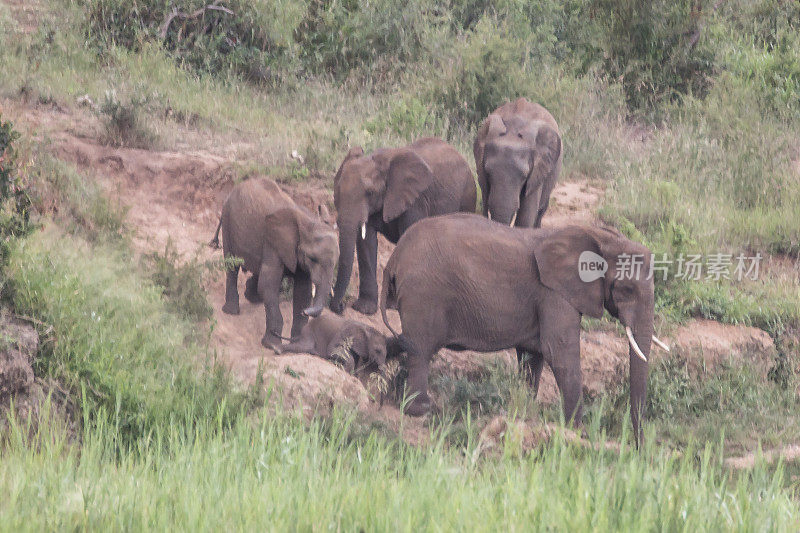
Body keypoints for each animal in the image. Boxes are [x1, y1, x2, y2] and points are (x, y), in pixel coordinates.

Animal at [209, 179, 338, 352]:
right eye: (312, 258)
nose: (306, 312)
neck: (307, 221)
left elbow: (302, 292)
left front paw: (295, 341)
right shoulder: (273, 242)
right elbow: (268, 285)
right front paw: (271, 345)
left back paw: (252, 297)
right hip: (228, 220)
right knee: (232, 267)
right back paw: (230, 311)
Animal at [330, 137, 476, 316]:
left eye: (370, 192)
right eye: (337, 190)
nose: (341, 306)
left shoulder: (416, 200)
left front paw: (393, 306)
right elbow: (366, 242)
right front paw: (364, 309)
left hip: (468, 195)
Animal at [384, 213, 672, 444]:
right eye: (627, 289)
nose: (638, 446)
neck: (599, 235)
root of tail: (394, 258)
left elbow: (534, 355)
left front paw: (524, 412)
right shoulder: (554, 293)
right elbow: (559, 353)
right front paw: (576, 431)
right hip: (422, 293)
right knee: (421, 350)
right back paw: (421, 409)